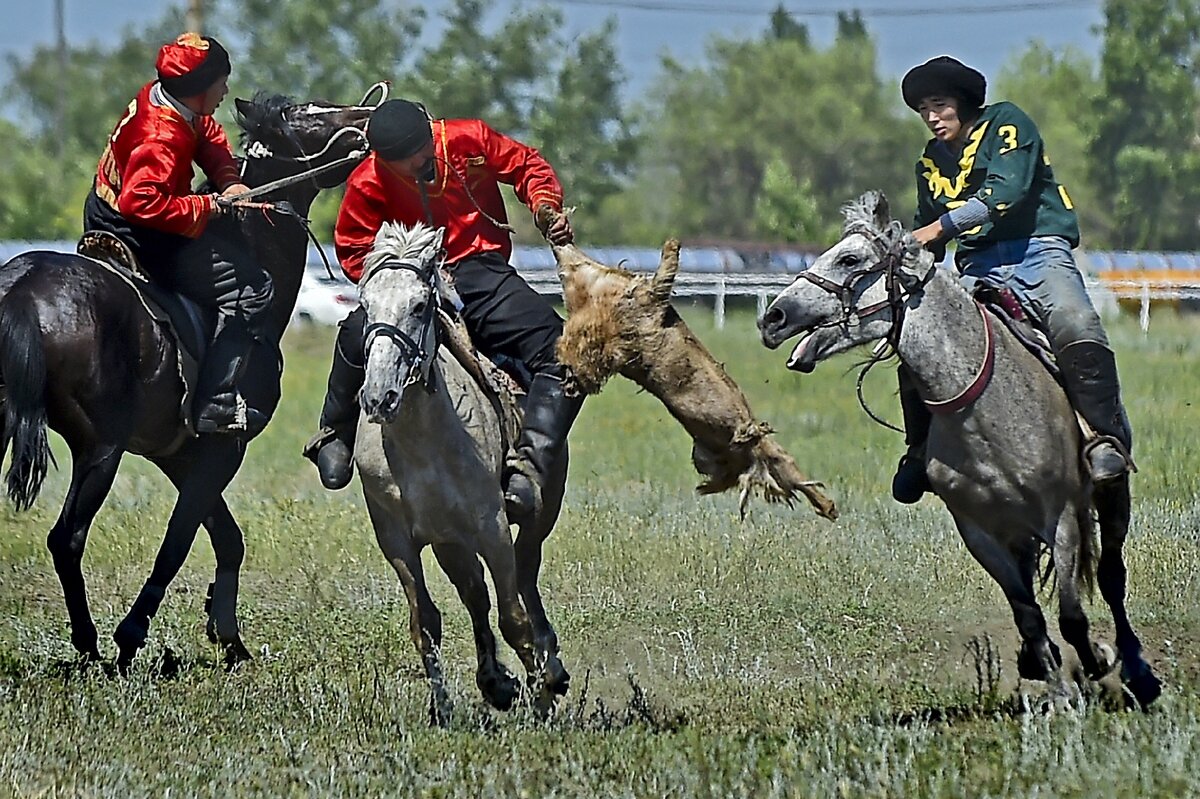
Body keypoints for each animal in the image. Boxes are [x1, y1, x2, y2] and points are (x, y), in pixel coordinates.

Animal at [0, 91, 372, 667]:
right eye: (305, 116)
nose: (366, 120)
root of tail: (23, 288)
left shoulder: (178, 453)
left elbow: (227, 538)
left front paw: (229, 637)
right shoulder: (221, 449)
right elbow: (179, 540)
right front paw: (132, 635)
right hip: (100, 450)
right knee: (67, 538)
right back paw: (88, 644)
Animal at [352, 219, 568, 719]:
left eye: (418, 306)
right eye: (366, 305)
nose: (379, 396)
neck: (421, 443)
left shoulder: (492, 526)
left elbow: (513, 617)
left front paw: (541, 693)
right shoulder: (397, 538)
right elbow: (426, 622)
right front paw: (445, 709)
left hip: (534, 517)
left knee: (524, 580)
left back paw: (546, 669)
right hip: (449, 541)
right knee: (476, 595)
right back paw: (496, 681)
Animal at [758, 193, 1161, 710]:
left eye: (850, 259)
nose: (773, 318)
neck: (986, 408)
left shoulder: (1062, 518)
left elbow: (1072, 612)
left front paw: (1096, 662)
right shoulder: (979, 531)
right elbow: (1029, 614)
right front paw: (1057, 691)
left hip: (1110, 496)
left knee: (1111, 577)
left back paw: (1137, 671)